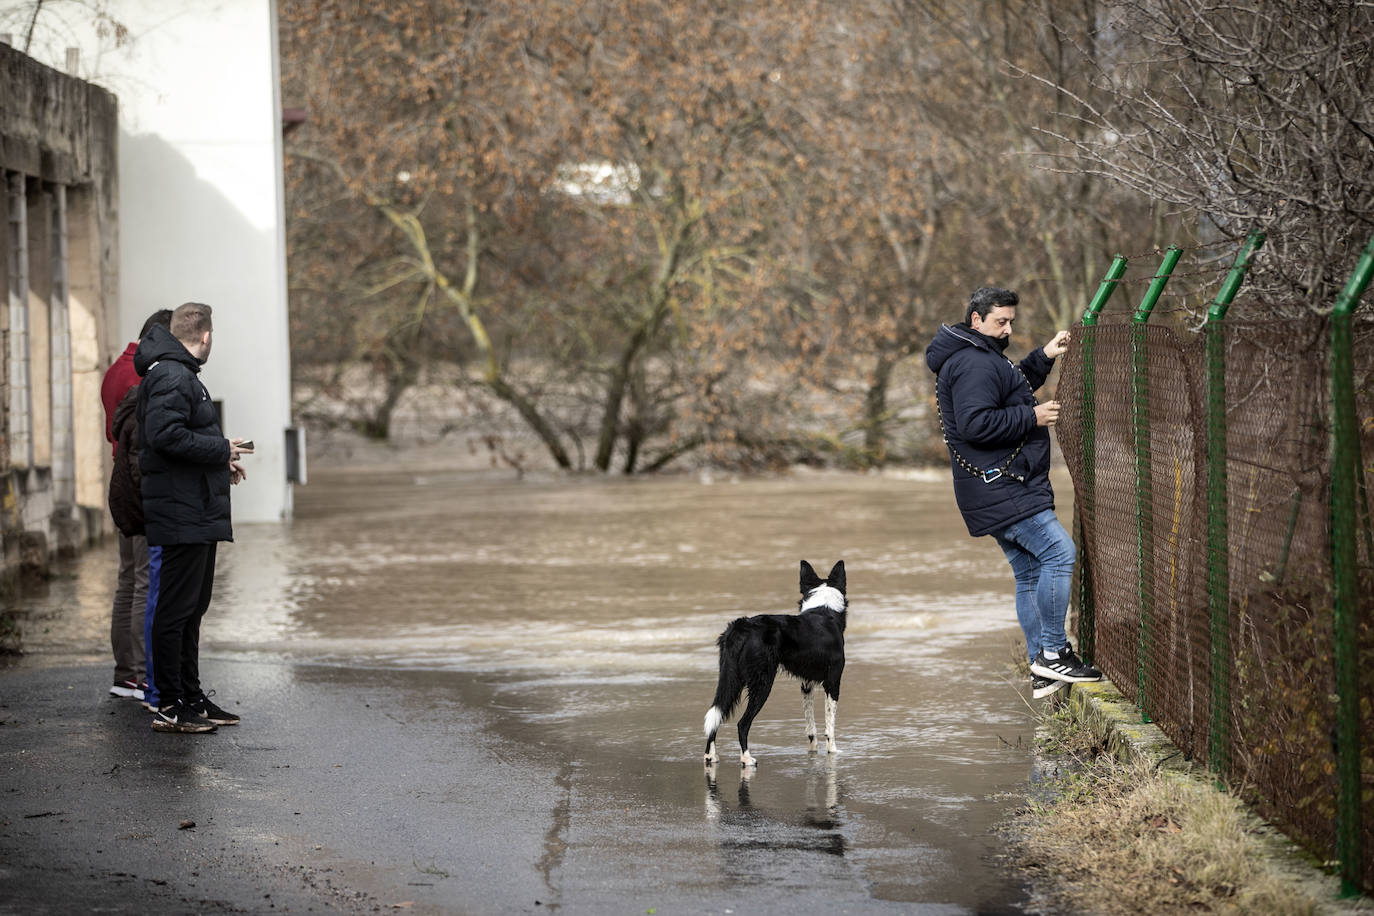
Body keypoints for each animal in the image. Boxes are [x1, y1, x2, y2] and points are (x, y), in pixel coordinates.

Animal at [708, 560, 846, 769]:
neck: (825, 609)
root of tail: (741, 626)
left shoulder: (806, 684)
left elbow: (811, 727)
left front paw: (813, 752)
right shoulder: (833, 682)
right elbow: (830, 725)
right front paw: (833, 751)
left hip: (729, 680)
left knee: (714, 716)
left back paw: (710, 756)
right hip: (762, 683)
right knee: (742, 723)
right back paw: (746, 758)